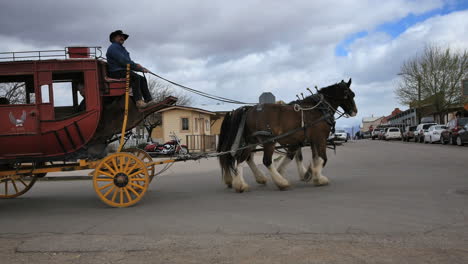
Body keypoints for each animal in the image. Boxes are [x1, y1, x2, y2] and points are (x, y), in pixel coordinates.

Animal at [218, 78, 356, 192]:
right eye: (349, 94)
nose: (355, 111)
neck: (319, 109)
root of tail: (249, 109)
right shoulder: (320, 138)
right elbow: (323, 158)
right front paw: (318, 178)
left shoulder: (307, 141)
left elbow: (310, 158)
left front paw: (312, 174)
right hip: (268, 141)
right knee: (266, 161)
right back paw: (281, 183)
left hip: (251, 140)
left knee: (242, 159)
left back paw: (241, 184)